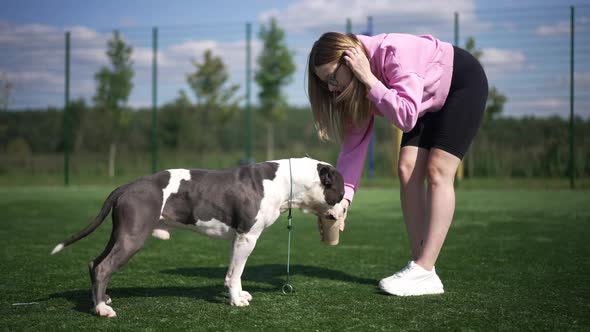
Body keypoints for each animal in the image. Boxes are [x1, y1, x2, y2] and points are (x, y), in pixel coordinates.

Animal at [52, 157, 346, 318]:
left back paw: (102, 300)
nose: (346, 208)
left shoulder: (237, 239)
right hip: (132, 237)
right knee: (103, 267)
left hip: (120, 234)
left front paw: (238, 294)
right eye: (341, 193)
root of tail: (127, 186)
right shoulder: (248, 236)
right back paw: (102, 309)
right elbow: (237, 273)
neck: (286, 181)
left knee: (95, 263)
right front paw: (236, 301)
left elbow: (233, 272)